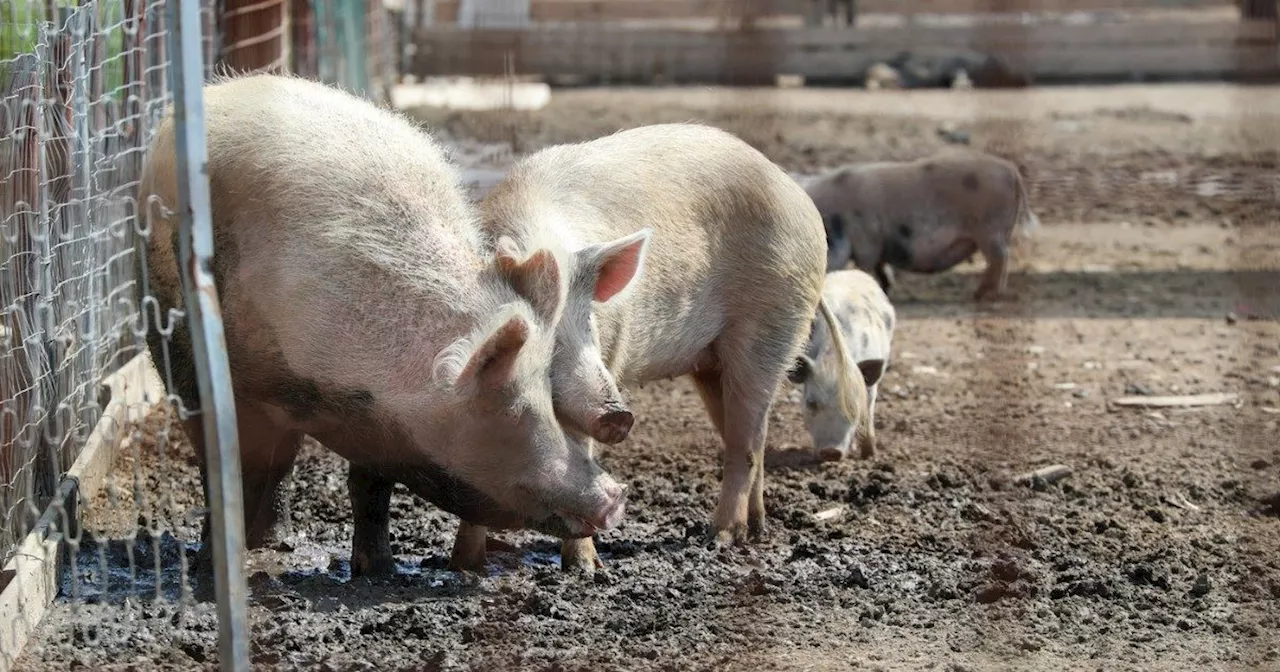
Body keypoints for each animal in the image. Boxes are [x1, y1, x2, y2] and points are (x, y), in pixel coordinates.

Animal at [137, 73, 622, 581]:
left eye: (547, 394)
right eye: (509, 409)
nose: (615, 498)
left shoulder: (379, 422)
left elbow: (369, 486)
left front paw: (378, 572)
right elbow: (228, 466)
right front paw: (213, 573)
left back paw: (278, 541)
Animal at [783, 267, 896, 460]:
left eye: (852, 407)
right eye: (811, 403)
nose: (831, 451)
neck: (833, 363)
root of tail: (852, 270)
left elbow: (867, 412)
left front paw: (869, 456)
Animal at [808, 151, 1039, 300]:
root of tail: (1011, 171)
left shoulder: (866, 242)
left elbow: (866, 267)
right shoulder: (877, 246)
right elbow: (882, 269)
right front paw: (886, 289)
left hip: (990, 230)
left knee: (1000, 258)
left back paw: (982, 295)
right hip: (998, 232)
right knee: (1001, 259)